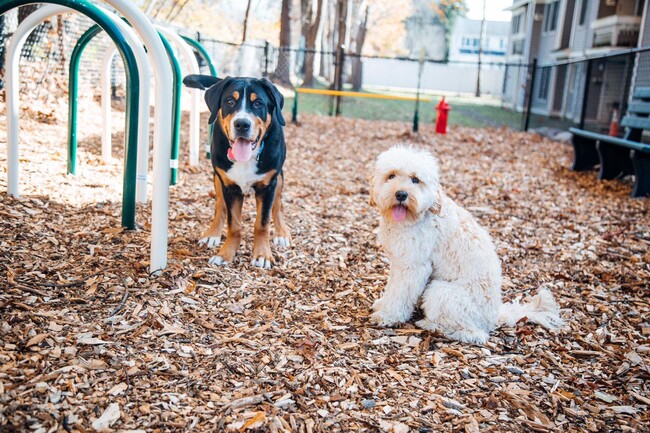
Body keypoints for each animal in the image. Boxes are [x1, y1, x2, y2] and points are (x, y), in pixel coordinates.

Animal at [185, 76, 292, 268]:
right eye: (229, 101)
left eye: (258, 103)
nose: (242, 124)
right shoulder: (229, 186)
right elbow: (233, 224)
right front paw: (225, 254)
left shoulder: (268, 186)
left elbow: (262, 223)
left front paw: (262, 255)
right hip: (217, 178)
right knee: (219, 205)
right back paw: (213, 233)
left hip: (278, 177)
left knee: (278, 204)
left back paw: (281, 233)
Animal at [370, 147, 560, 342]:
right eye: (391, 176)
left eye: (415, 179)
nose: (401, 194)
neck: (416, 217)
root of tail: (494, 317)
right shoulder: (398, 263)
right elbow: (392, 287)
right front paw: (383, 304)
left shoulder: (414, 267)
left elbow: (401, 294)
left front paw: (388, 316)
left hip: (442, 293)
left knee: (472, 333)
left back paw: (432, 325)